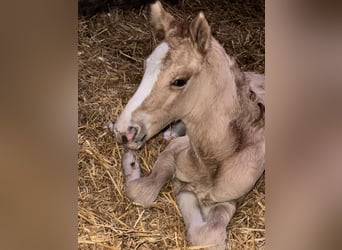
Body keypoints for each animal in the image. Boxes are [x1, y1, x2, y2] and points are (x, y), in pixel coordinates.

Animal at [113, 1, 266, 248]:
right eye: (146, 67)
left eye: (179, 81)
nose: (124, 131)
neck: (214, 160)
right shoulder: (175, 151)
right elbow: (142, 191)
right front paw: (131, 162)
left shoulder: (232, 198)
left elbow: (207, 235)